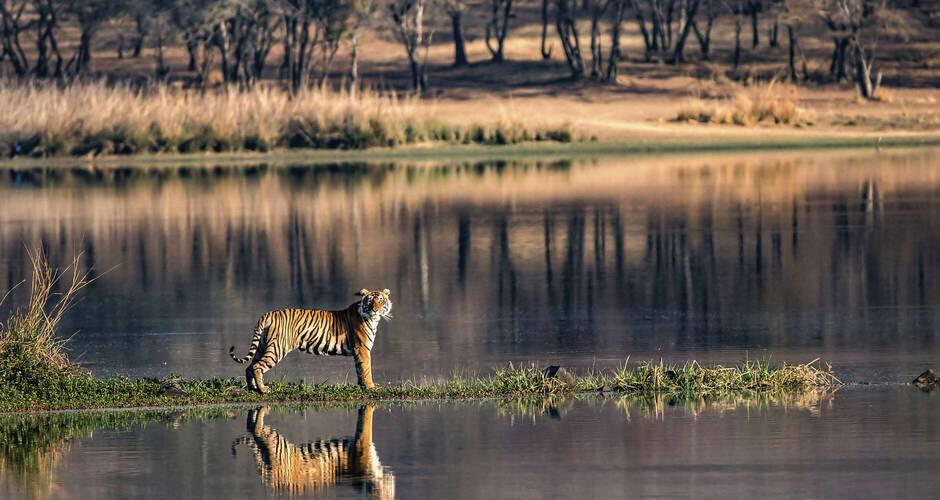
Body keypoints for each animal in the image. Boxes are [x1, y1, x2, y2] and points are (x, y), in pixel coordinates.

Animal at [229, 288, 392, 392]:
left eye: (381, 301)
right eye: (370, 302)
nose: (375, 310)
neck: (373, 320)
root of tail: (268, 314)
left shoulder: (359, 351)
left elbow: (360, 369)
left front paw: (364, 386)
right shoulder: (362, 348)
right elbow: (366, 369)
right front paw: (371, 387)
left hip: (263, 346)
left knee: (250, 366)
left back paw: (253, 388)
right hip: (277, 348)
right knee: (257, 366)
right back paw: (263, 389)